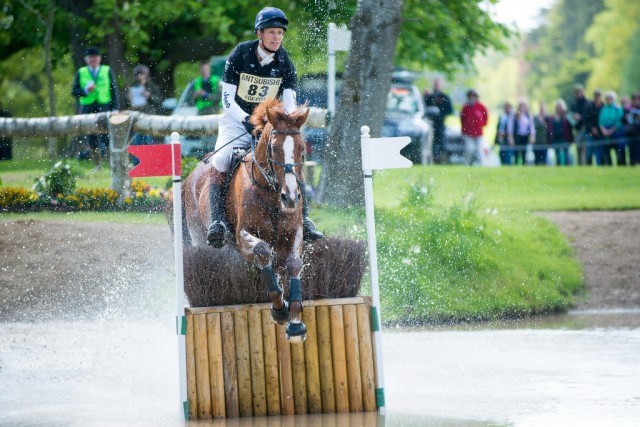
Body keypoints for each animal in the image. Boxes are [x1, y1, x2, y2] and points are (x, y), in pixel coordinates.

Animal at [182, 98, 310, 342]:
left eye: (302, 148)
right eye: (273, 148)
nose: (290, 197)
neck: (271, 193)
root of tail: (190, 177)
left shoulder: (293, 234)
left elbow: (294, 264)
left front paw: (296, 323)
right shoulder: (243, 237)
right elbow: (262, 251)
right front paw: (280, 310)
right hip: (201, 238)